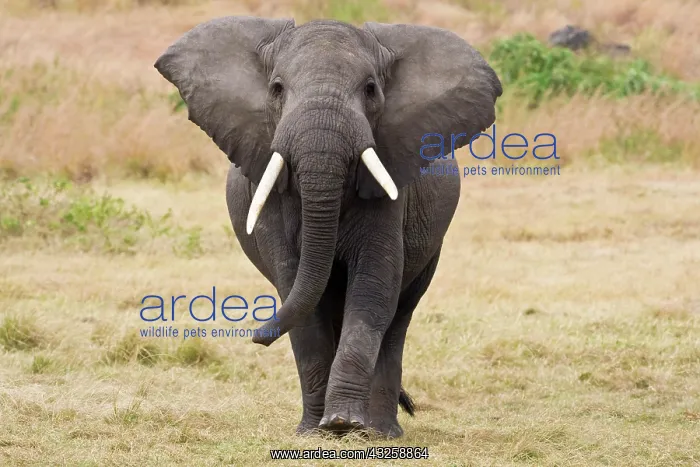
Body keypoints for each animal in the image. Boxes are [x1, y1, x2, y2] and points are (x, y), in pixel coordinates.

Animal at [154, 16, 502, 438]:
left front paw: (342, 422)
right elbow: (297, 290)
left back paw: (381, 432)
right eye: (277, 88)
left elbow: (373, 286)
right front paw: (316, 432)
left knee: (398, 316)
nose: (256, 335)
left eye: (370, 89)